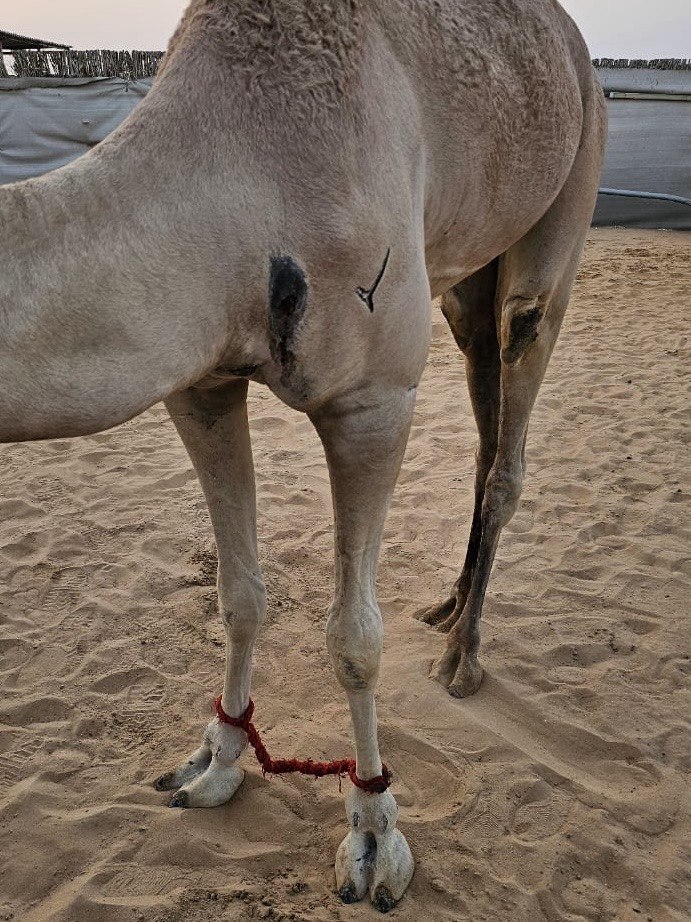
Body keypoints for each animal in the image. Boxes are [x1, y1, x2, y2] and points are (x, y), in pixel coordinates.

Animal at [0, 0, 606, 912]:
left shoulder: (373, 400)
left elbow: (354, 639)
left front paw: (372, 832)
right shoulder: (200, 383)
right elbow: (239, 596)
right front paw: (216, 760)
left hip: (572, 181)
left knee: (515, 396)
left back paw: (462, 655)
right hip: (466, 278)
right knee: (484, 412)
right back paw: (446, 607)